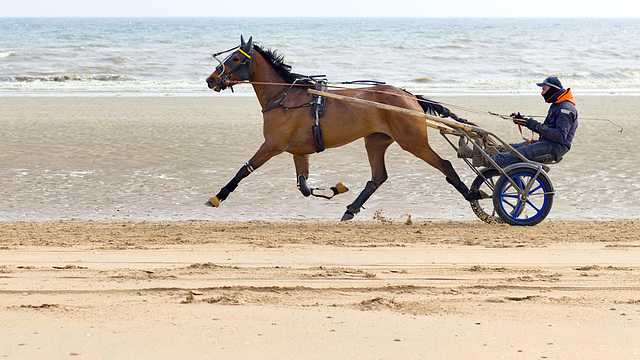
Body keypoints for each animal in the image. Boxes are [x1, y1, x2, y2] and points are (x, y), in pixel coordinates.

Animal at [205, 37, 480, 222]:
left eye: (236, 58)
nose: (210, 79)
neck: (285, 97)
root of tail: (409, 96)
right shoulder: (298, 150)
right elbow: (304, 187)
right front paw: (333, 189)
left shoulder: (272, 145)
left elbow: (244, 170)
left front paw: (218, 196)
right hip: (376, 141)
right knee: (378, 177)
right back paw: (351, 209)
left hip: (413, 141)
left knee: (445, 165)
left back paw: (473, 198)